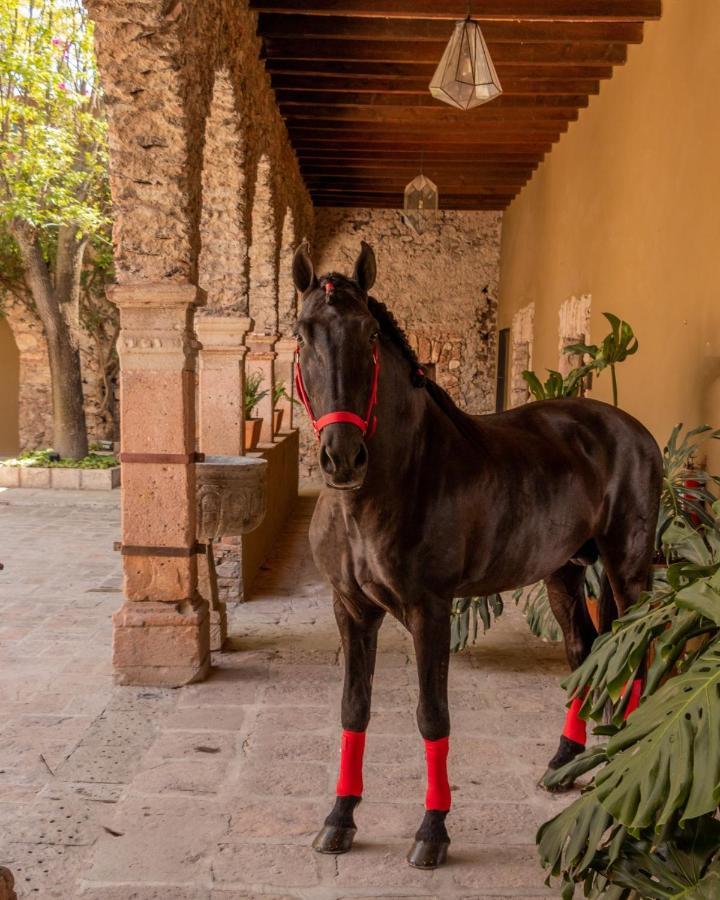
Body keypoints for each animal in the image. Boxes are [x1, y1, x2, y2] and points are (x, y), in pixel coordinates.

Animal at [290, 239, 660, 864]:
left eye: (369, 333)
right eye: (300, 333)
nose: (342, 457)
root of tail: (631, 429)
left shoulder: (430, 611)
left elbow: (431, 715)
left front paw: (432, 830)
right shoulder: (352, 609)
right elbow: (353, 708)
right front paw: (339, 818)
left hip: (628, 570)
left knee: (635, 653)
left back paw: (622, 768)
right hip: (563, 573)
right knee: (584, 650)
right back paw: (565, 764)